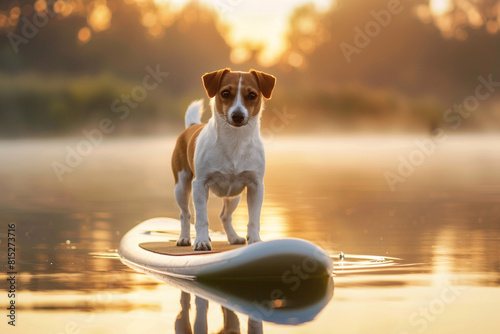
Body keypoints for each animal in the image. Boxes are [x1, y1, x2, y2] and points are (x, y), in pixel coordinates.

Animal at [170, 68, 276, 250]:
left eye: (252, 95)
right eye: (225, 93)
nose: (238, 115)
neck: (235, 142)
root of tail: (192, 126)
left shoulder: (255, 186)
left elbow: (254, 219)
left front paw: (255, 240)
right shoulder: (199, 184)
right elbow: (202, 219)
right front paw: (202, 241)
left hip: (234, 197)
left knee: (225, 217)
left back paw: (233, 238)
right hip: (182, 186)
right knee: (185, 214)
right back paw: (184, 238)